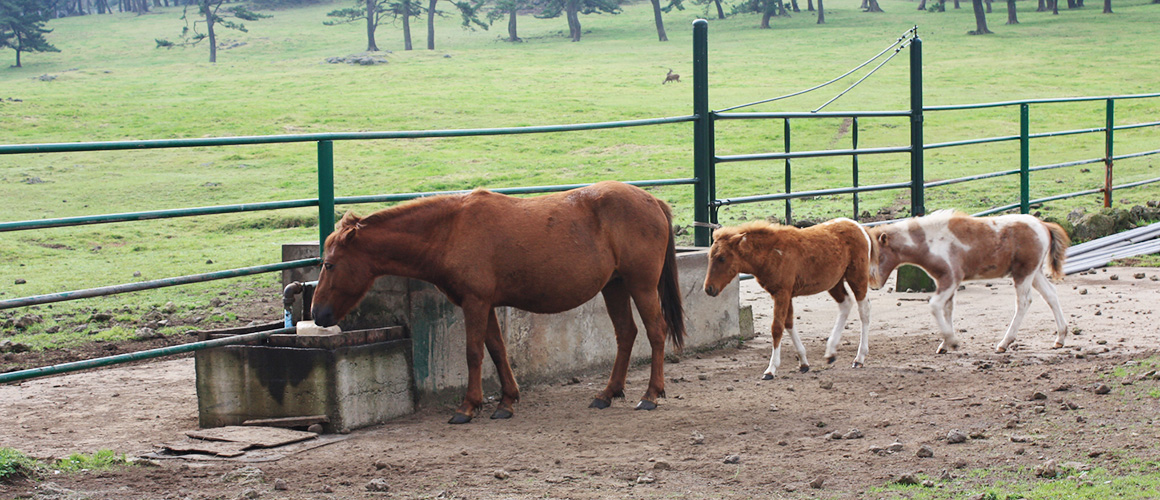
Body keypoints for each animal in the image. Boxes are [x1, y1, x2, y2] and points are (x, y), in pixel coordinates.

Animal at [313, 182, 682, 424]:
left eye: (329, 265)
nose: (318, 314)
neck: (450, 231)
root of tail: (652, 200)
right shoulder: (484, 304)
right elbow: (497, 350)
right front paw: (506, 401)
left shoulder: (475, 302)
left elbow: (474, 353)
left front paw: (467, 407)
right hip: (615, 286)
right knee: (626, 334)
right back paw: (606, 394)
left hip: (641, 285)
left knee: (656, 332)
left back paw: (650, 395)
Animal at [696, 219, 872, 380]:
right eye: (709, 256)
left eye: (722, 258)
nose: (709, 288)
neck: (771, 253)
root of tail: (858, 227)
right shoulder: (786, 294)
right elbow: (788, 323)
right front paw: (803, 363)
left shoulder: (782, 292)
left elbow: (777, 328)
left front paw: (771, 369)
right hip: (834, 282)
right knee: (845, 304)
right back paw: (831, 353)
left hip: (857, 277)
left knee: (864, 311)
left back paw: (859, 358)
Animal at [872, 209, 1067, 354]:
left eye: (879, 256)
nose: (874, 285)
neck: (931, 241)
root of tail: (1044, 225)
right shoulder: (945, 281)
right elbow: (948, 309)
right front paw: (945, 345)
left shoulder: (951, 278)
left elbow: (935, 306)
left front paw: (953, 342)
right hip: (1035, 272)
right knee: (1051, 295)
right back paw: (1060, 338)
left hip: (1023, 273)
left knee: (1024, 301)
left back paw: (1004, 343)